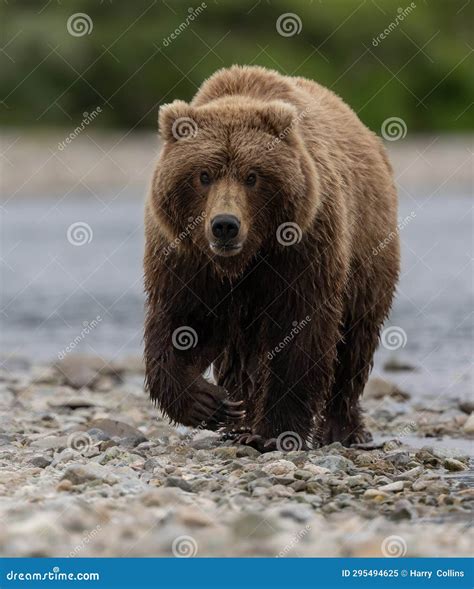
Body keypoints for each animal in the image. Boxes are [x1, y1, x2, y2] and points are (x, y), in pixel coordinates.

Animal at [144, 65, 400, 450]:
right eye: (203, 175)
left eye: (252, 176)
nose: (225, 225)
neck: (246, 260)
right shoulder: (187, 259)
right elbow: (181, 323)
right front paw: (210, 403)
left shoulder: (302, 249)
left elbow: (300, 334)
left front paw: (275, 432)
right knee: (239, 356)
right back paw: (240, 420)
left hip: (368, 256)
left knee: (355, 342)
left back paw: (341, 428)